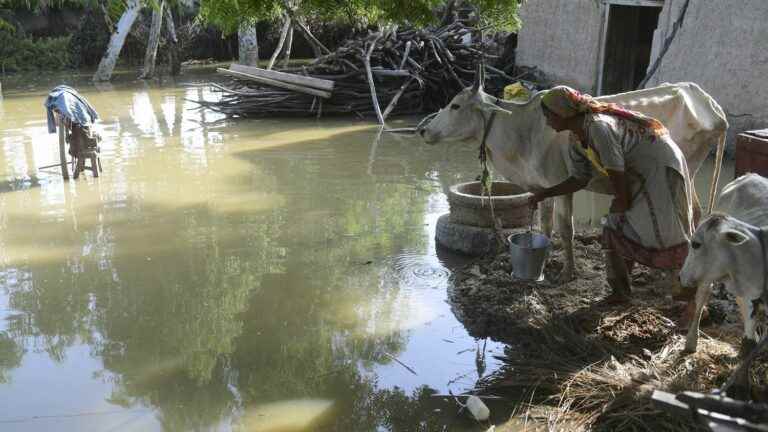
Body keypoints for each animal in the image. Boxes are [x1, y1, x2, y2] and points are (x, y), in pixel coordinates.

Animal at [420, 80, 728, 284]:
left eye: (455, 105)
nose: (424, 130)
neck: (521, 131)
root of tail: (711, 105)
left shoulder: (564, 184)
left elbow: (565, 228)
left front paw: (568, 273)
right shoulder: (541, 188)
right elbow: (545, 226)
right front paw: (546, 260)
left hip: (684, 171)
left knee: (689, 216)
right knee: (696, 213)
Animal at [680, 174, 768, 352]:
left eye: (696, 244)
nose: (681, 276)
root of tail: (748, 175)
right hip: (706, 278)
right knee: (701, 298)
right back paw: (691, 341)